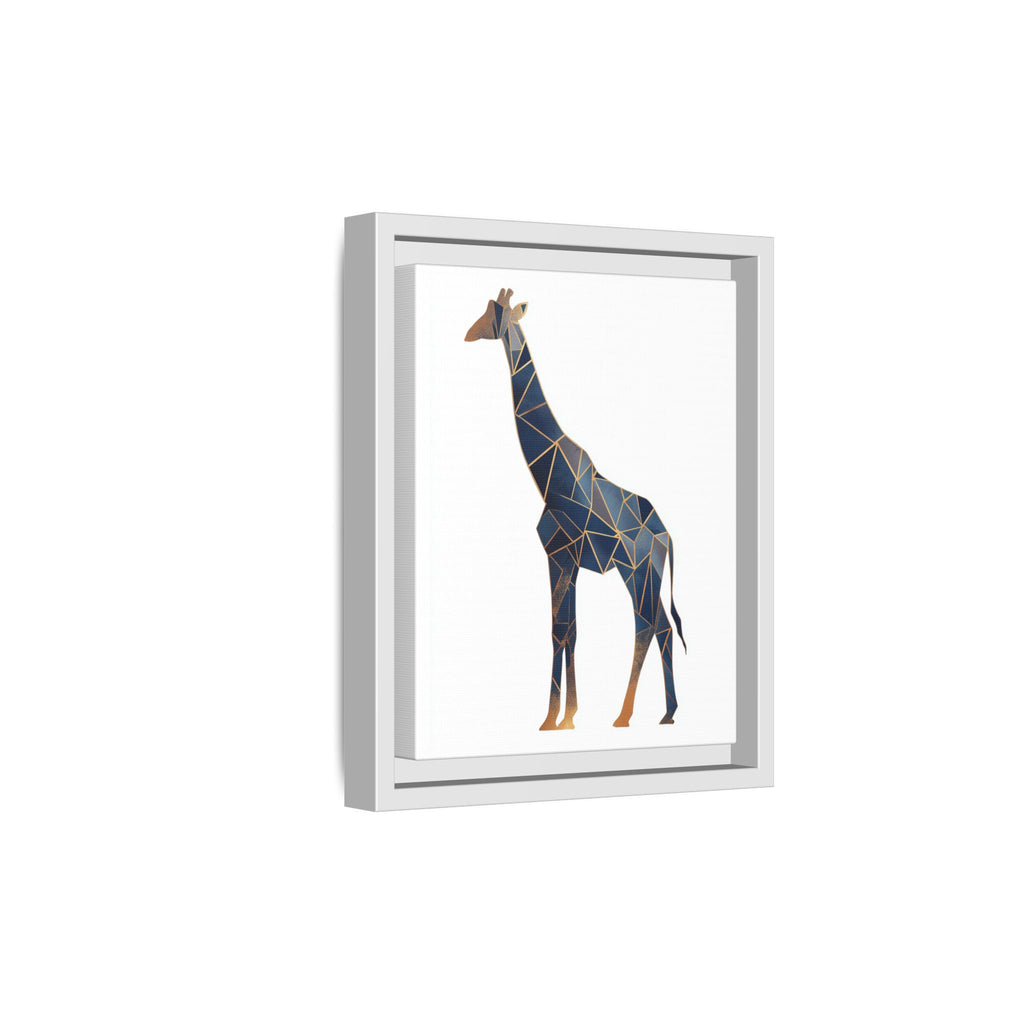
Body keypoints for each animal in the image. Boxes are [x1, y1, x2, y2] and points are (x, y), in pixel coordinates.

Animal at [465, 287, 687, 731]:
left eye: (494, 314)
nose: (468, 333)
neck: (550, 477)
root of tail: (667, 537)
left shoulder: (561, 554)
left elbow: (560, 630)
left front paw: (554, 718)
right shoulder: (565, 559)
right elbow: (569, 629)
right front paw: (566, 716)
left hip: (635, 570)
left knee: (645, 626)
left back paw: (624, 715)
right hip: (648, 574)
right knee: (663, 627)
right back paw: (667, 713)